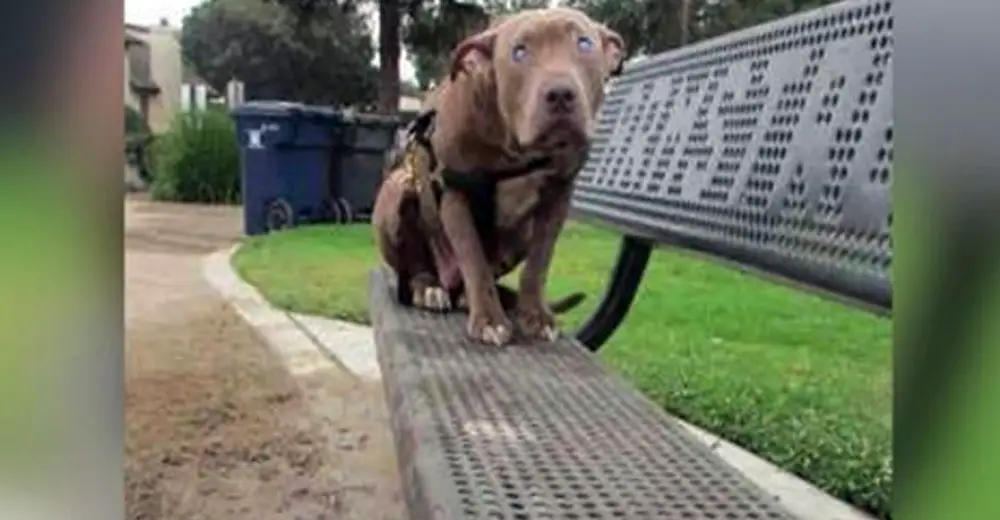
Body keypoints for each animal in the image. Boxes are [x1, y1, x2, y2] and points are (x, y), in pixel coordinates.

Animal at [376, 7, 624, 346]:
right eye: (519, 52)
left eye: (584, 43)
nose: (561, 93)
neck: (515, 148)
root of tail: (448, 280)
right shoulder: (455, 194)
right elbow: (474, 260)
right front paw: (490, 321)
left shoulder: (557, 198)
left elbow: (538, 265)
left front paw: (536, 316)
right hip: (398, 189)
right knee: (417, 267)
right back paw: (428, 288)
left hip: (520, 234)